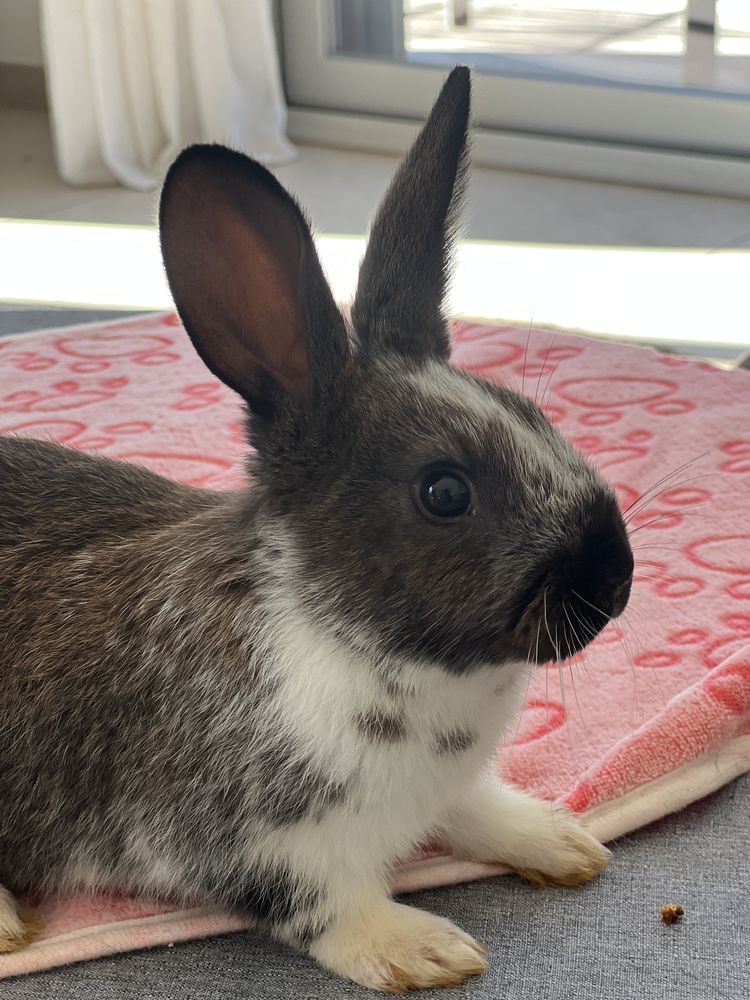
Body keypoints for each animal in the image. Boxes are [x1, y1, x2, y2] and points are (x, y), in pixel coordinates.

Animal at [0, 67, 633, 991]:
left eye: (532, 414)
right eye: (444, 491)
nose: (615, 579)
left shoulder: (451, 790)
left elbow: (479, 810)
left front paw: (560, 840)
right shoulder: (248, 841)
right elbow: (322, 907)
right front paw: (423, 948)